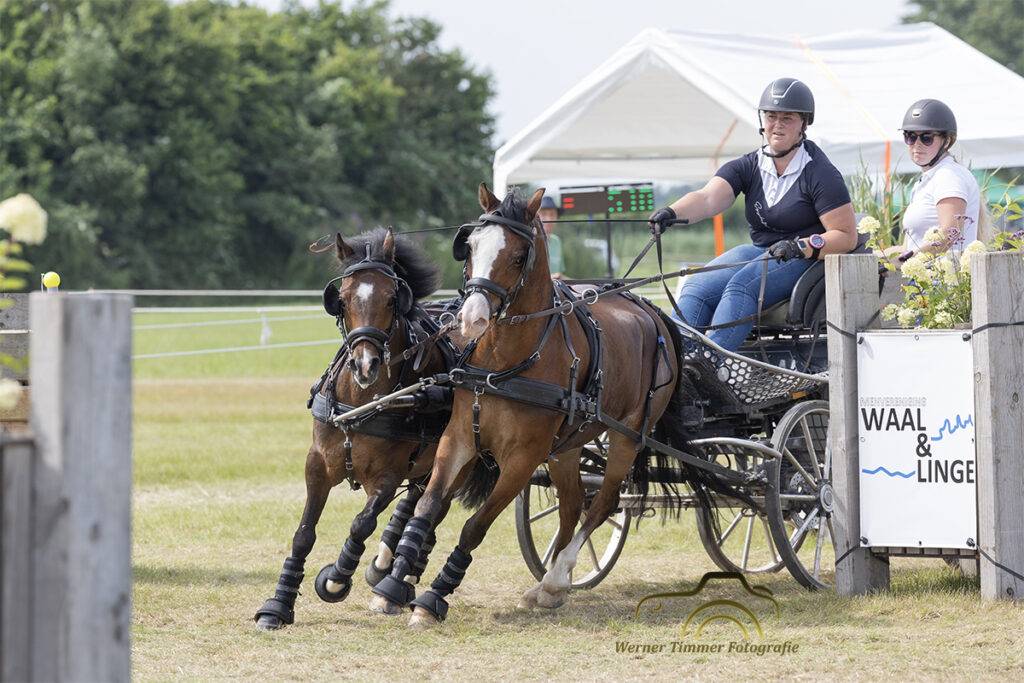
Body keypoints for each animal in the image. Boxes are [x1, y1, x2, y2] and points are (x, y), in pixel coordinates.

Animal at [254, 227, 493, 630]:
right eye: (343, 299)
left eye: (392, 298)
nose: (365, 366)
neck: (361, 402)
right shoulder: (317, 465)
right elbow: (304, 534)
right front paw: (278, 605)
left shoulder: (387, 476)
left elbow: (361, 523)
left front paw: (335, 578)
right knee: (415, 506)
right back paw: (389, 571)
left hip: (457, 459)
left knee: (432, 510)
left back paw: (398, 580)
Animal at [370, 185, 688, 628]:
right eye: (470, 247)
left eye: (520, 256)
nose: (472, 319)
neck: (504, 362)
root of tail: (652, 312)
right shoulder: (459, 438)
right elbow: (429, 506)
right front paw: (391, 585)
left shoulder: (521, 459)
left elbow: (474, 527)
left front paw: (432, 599)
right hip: (568, 445)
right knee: (572, 504)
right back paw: (548, 585)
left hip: (627, 438)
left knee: (604, 502)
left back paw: (556, 579)